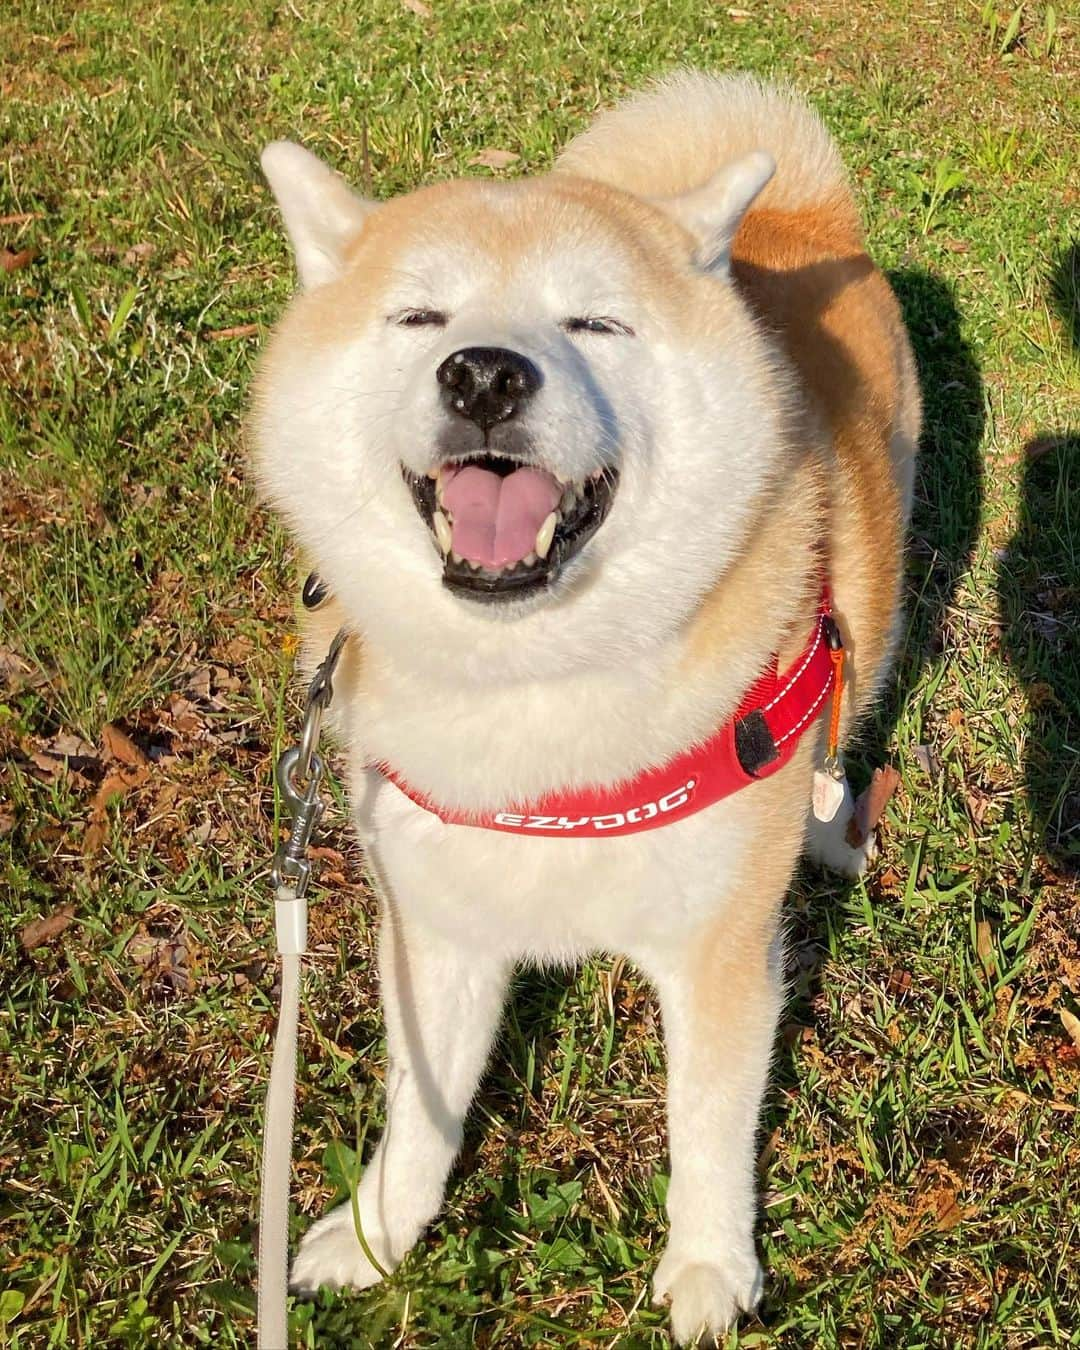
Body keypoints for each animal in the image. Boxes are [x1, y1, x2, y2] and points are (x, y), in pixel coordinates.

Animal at [251, 71, 918, 1339]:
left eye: (596, 325)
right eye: (420, 318)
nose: (484, 374)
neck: (535, 703)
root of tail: (792, 219)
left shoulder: (719, 951)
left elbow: (709, 1128)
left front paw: (708, 1269)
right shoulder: (438, 926)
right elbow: (422, 1115)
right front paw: (377, 1235)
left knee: (846, 707)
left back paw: (826, 822)